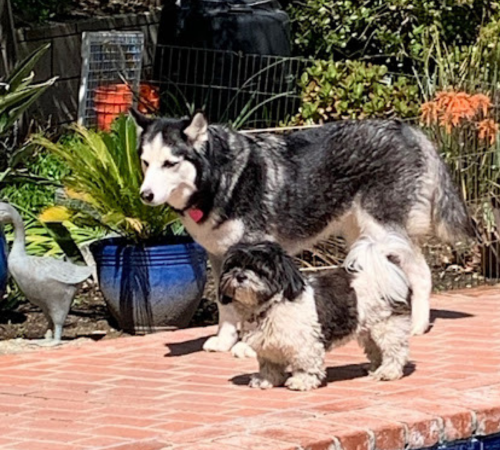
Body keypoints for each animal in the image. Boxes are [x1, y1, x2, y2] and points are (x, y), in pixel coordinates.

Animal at [132, 110, 468, 356]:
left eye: (170, 163)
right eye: (146, 163)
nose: (145, 195)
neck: (220, 179)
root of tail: (408, 129)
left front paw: (248, 346)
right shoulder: (219, 257)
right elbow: (225, 304)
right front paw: (225, 340)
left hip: (385, 231)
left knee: (421, 273)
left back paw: (417, 324)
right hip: (360, 235)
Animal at [221, 236, 412, 390]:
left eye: (260, 269)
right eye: (232, 266)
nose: (240, 276)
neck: (270, 306)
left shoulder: (304, 345)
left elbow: (305, 365)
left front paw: (301, 381)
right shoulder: (268, 346)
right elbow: (270, 365)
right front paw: (266, 380)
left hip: (387, 326)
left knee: (395, 351)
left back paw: (388, 371)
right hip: (368, 329)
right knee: (375, 349)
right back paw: (375, 368)